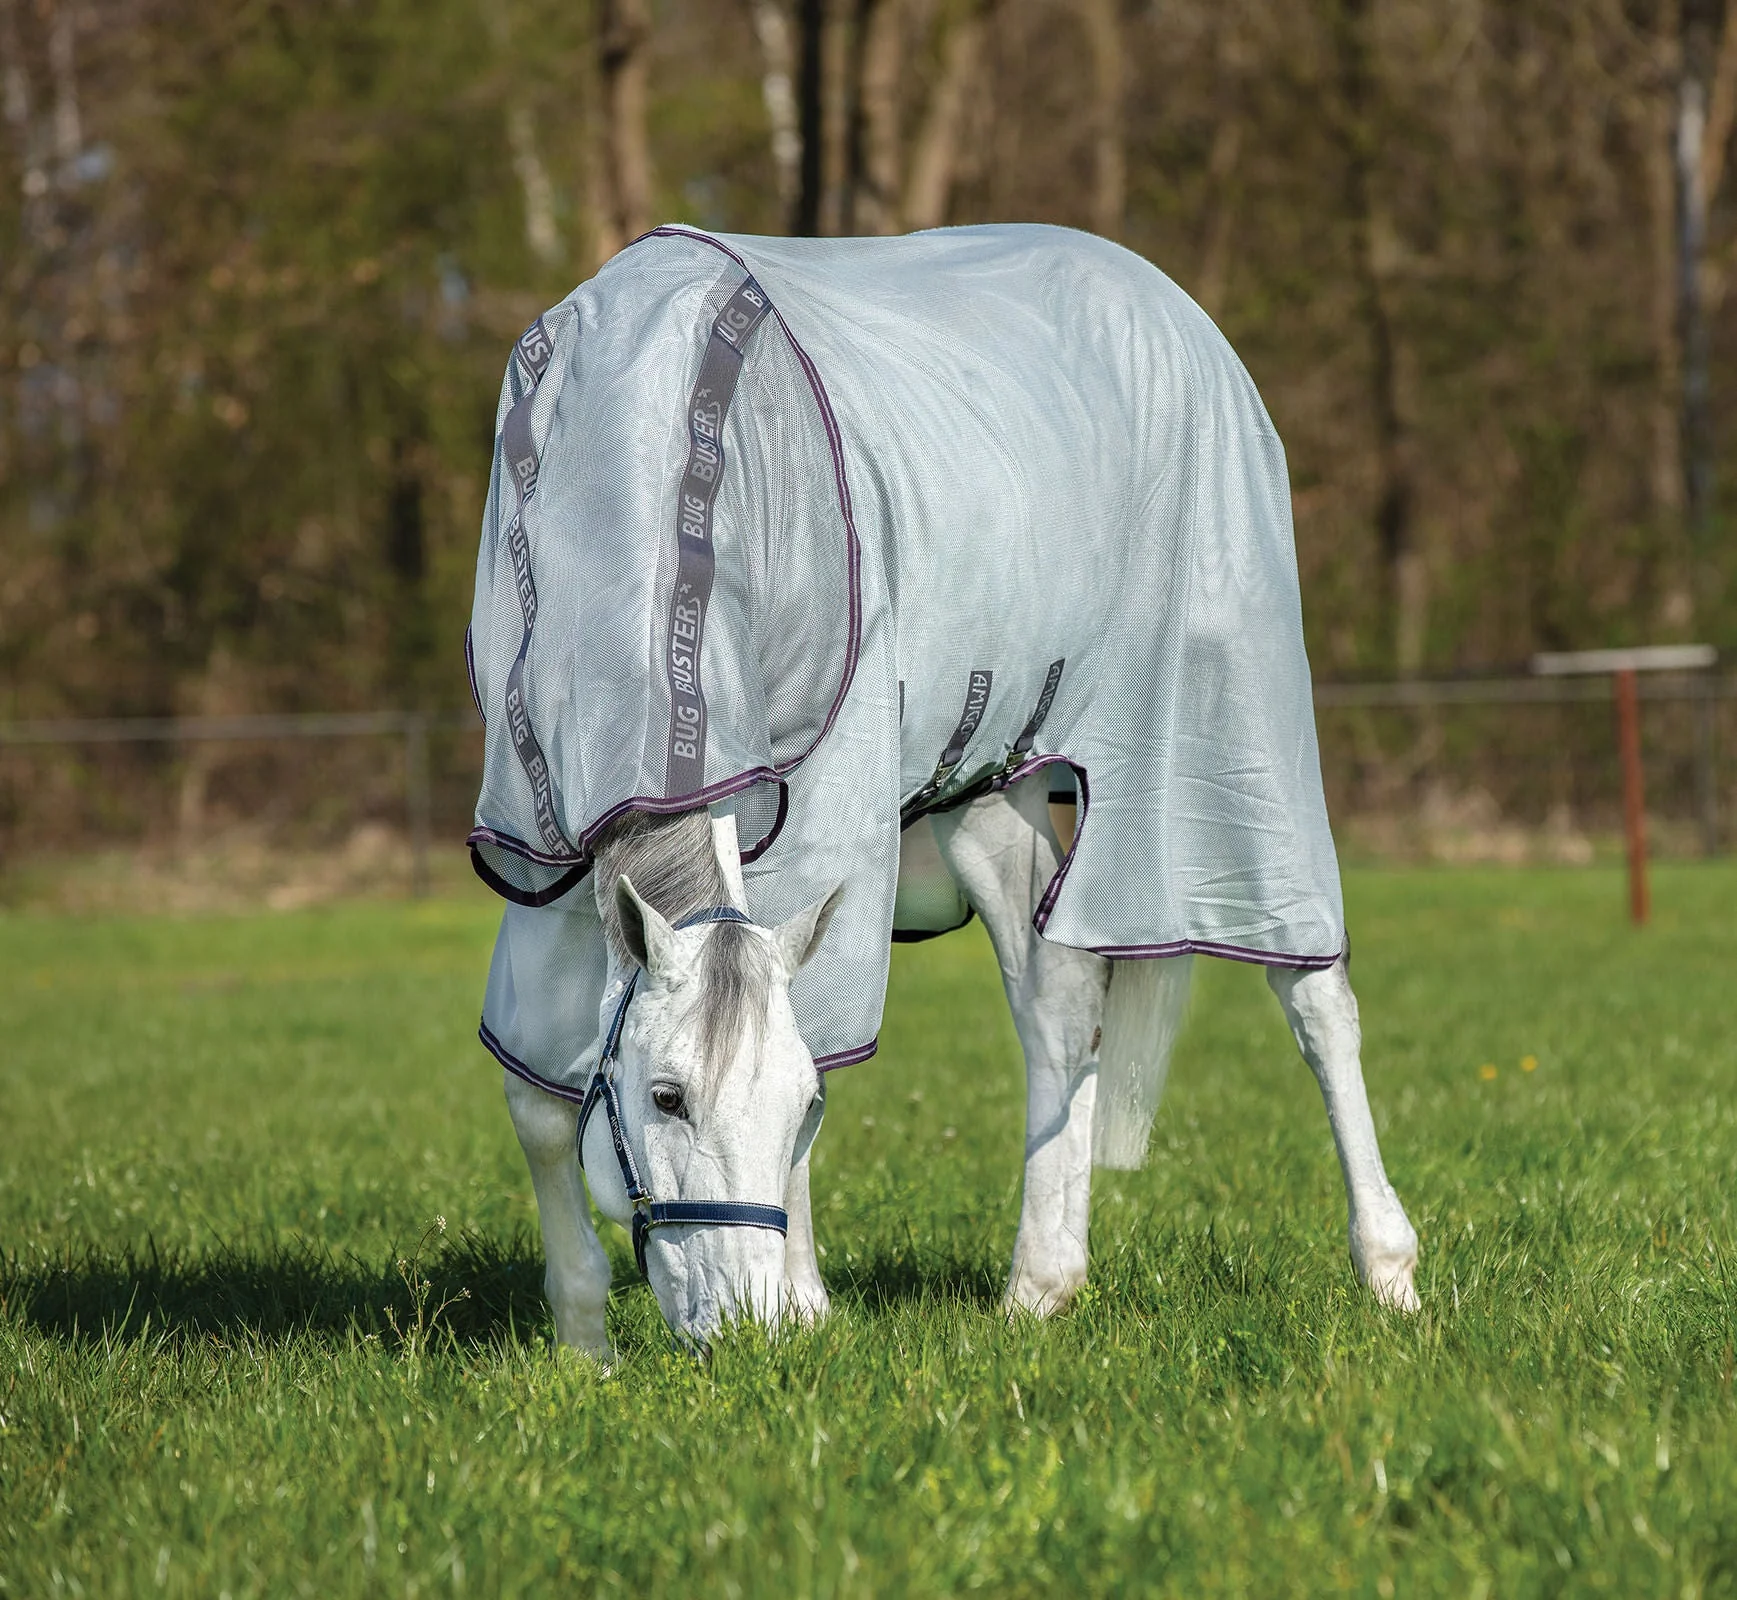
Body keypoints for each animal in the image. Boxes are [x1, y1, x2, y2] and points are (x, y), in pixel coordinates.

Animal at [467, 223, 1421, 1353]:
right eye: (665, 1098)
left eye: (792, 1108)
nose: (744, 1327)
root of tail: (1177, 310)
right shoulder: (544, 847)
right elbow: (535, 1103)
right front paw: (585, 1346)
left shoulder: (821, 824)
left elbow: (823, 1038)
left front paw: (805, 1304)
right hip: (991, 787)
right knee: (1060, 998)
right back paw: (1041, 1284)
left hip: (1232, 752)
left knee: (1315, 998)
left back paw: (1389, 1271)